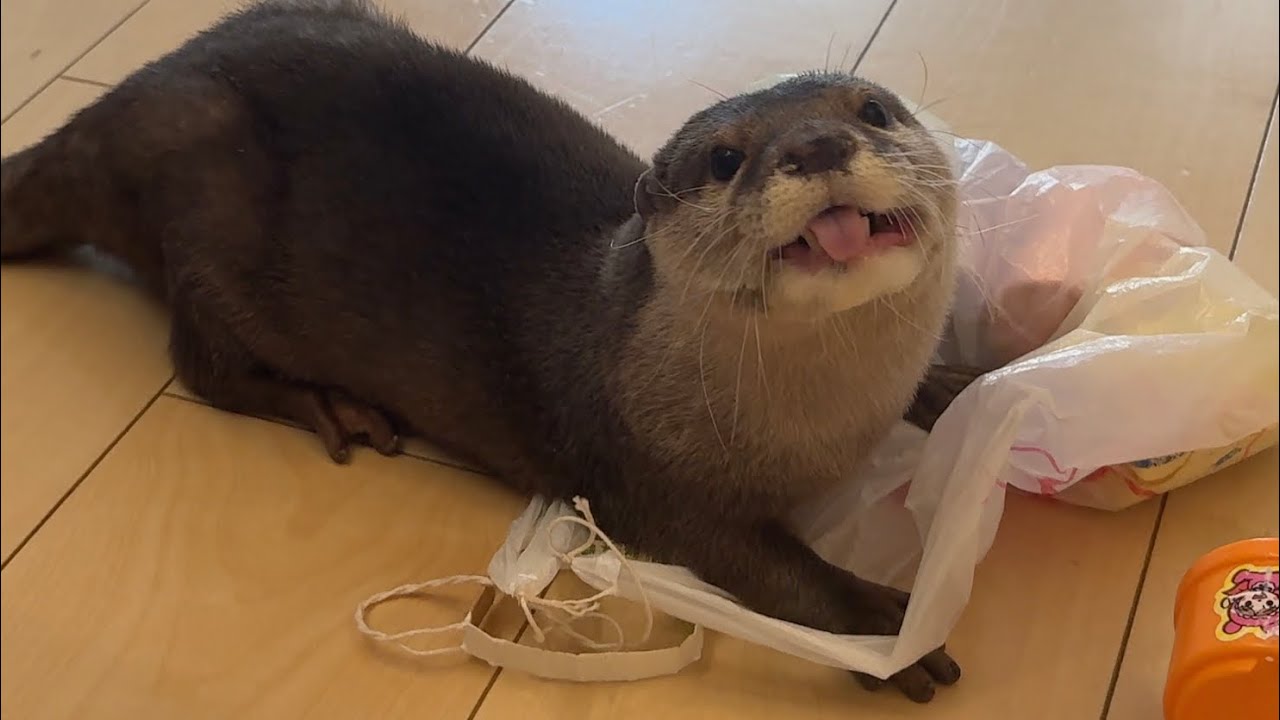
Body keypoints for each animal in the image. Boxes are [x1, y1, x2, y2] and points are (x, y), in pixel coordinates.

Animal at [0, 0, 976, 702]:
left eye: (874, 109)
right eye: (726, 159)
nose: (816, 141)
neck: (826, 431)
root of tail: (118, 103)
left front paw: (965, 380)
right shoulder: (642, 475)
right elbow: (768, 566)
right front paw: (884, 627)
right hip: (206, 200)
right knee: (201, 362)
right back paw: (329, 405)